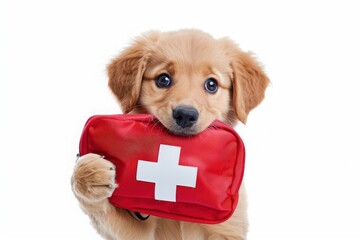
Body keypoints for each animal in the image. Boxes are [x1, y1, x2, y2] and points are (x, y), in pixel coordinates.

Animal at [72, 29, 270, 239]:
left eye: (212, 84)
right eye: (163, 79)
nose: (185, 115)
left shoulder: (227, 229)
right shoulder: (140, 231)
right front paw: (89, 173)